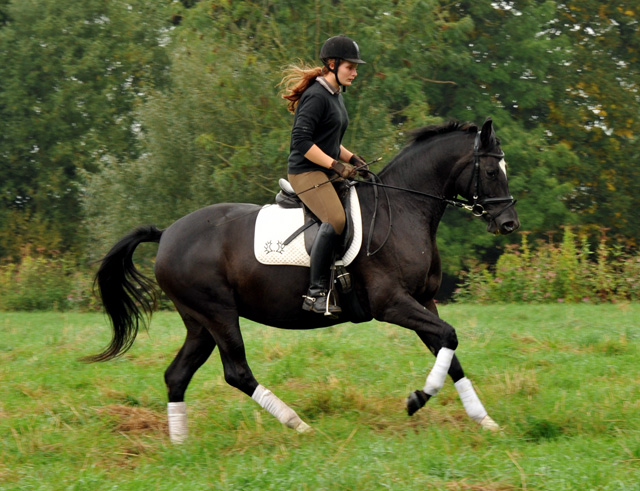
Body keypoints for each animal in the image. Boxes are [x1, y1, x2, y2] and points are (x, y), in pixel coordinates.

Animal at [90, 118, 520, 442]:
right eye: (489, 171)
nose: (508, 223)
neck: (402, 209)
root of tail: (167, 234)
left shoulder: (423, 301)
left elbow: (449, 351)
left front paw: (484, 419)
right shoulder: (392, 303)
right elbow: (449, 337)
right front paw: (416, 399)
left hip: (198, 322)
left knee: (177, 375)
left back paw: (181, 445)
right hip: (218, 314)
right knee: (236, 372)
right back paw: (298, 424)